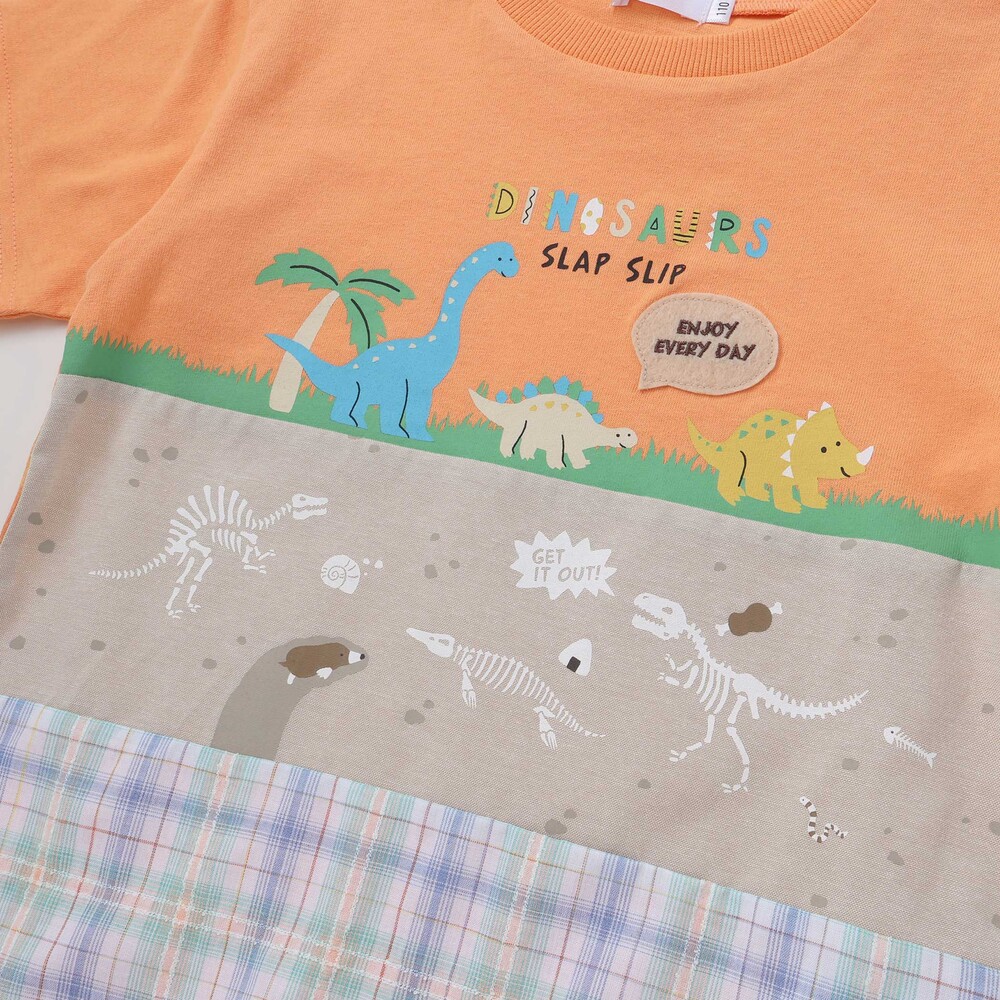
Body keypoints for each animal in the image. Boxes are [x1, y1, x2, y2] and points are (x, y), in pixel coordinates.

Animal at [89, 485, 327, 618]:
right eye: (302, 499)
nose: (323, 499)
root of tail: (174, 538)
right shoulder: (235, 532)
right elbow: (248, 549)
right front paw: (256, 563)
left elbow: (253, 542)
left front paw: (261, 557)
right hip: (195, 545)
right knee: (196, 567)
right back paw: (174, 609)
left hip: (195, 548)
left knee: (191, 571)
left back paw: (183, 606)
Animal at [406, 629, 604, 749]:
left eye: (433, 639)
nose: (411, 631)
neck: (462, 653)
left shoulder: (466, 668)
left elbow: (467, 688)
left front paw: (470, 700)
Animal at [632, 593, 867, 793]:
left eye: (667, 609)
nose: (641, 596)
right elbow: (679, 669)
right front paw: (669, 663)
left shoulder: (694, 672)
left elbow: (680, 682)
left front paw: (665, 675)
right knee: (711, 728)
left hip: (738, 701)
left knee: (731, 727)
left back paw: (738, 782)